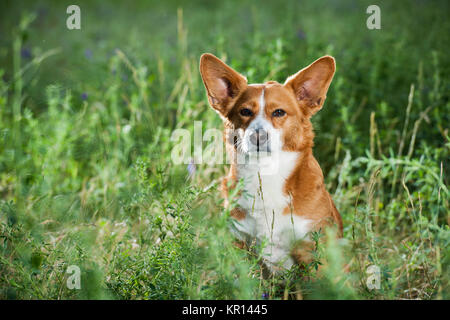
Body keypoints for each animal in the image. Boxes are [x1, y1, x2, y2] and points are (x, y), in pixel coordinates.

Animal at [199, 52, 342, 272]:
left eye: (279, 112)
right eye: (245, 112)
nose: (258, 136)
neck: (265, 171)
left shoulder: (313, 250)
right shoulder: (239, 244)